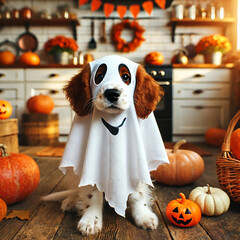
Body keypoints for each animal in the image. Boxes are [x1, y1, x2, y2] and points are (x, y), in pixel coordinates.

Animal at [41, 55, 169, 235]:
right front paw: (90, 220)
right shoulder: (91, 166)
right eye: (99, 77)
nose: (112, 93)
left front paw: (143, 215)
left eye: (126, 77)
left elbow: (137, 193)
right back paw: (71, 201)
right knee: (78, 190)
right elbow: (91, 194)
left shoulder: (138, 162)